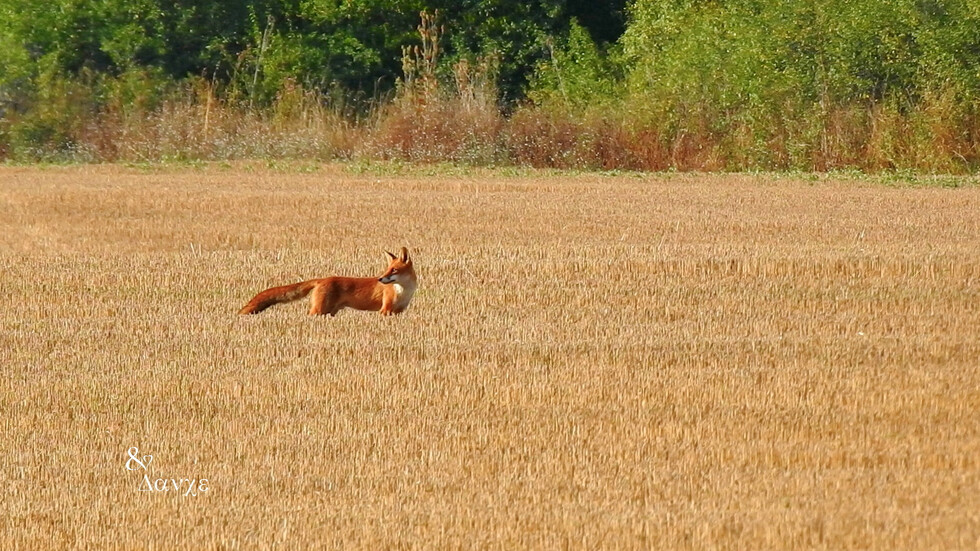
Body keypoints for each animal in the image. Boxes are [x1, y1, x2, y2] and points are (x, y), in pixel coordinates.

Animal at [243, 248, 420, 316]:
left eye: (394, 270)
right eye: (387, 269)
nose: (380, 279)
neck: (403, 291)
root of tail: (322, 279)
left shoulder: (398, 312)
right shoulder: (385, 310)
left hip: (329, 312)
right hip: (318, 310)